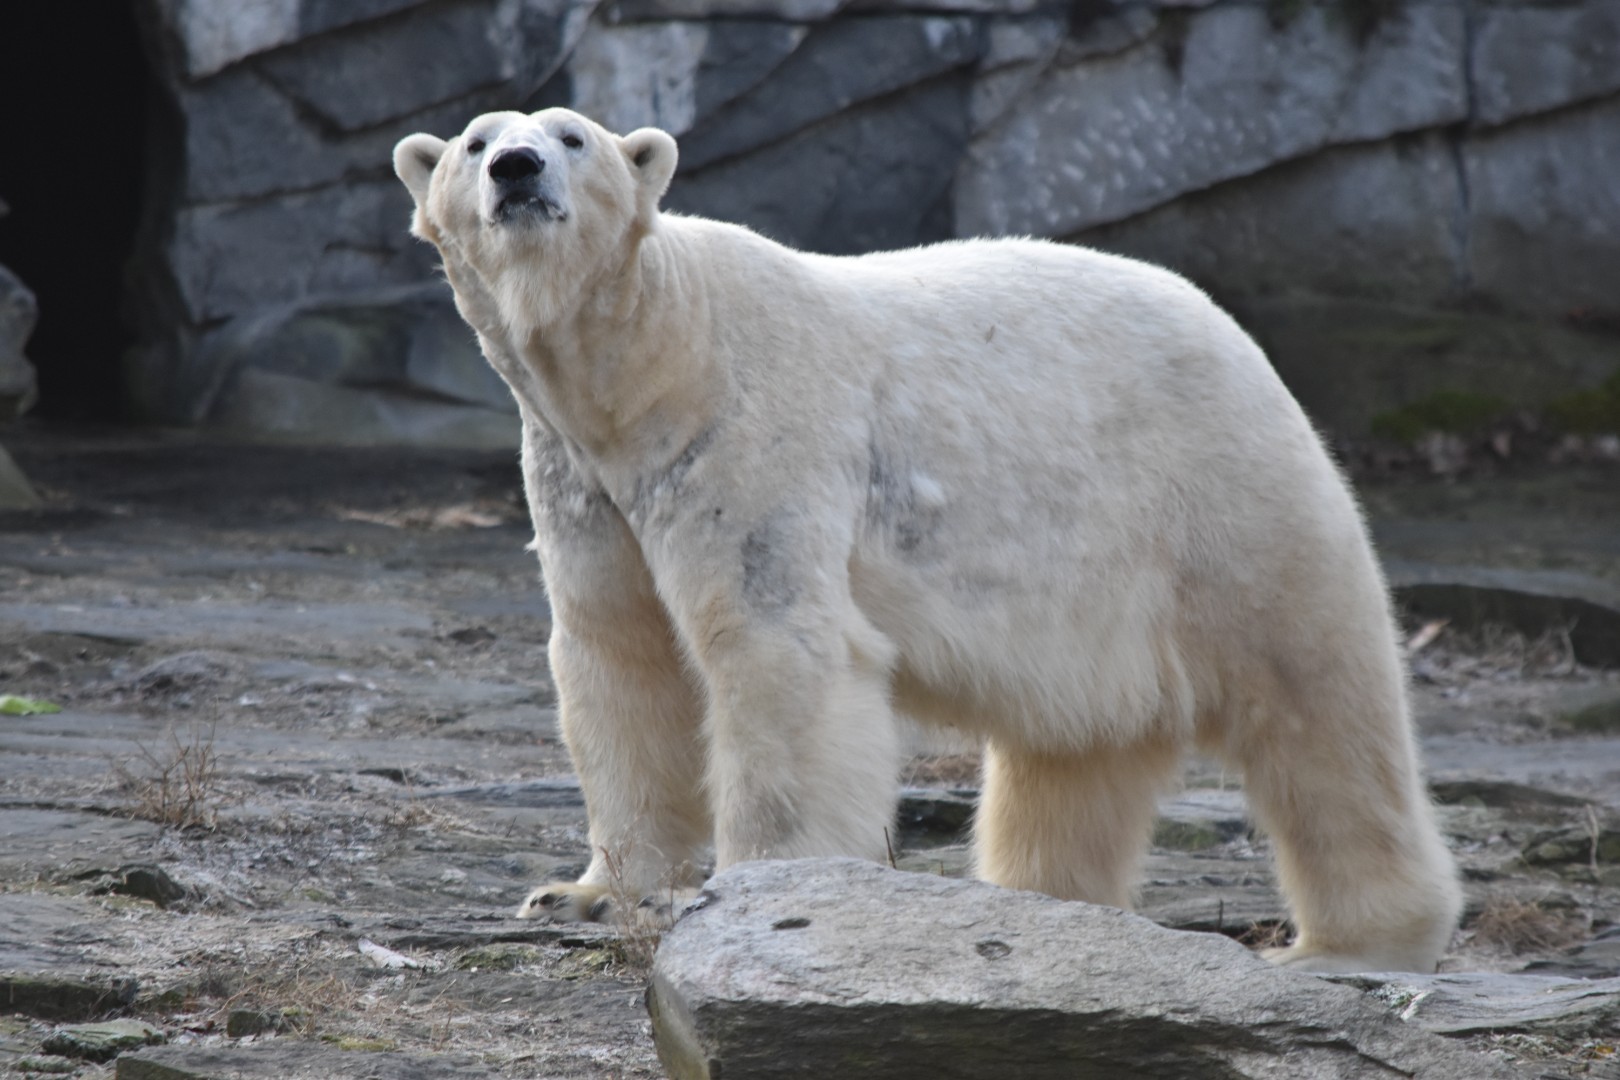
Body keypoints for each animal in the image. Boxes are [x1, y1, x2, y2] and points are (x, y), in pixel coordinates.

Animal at [392, 108, 1462, 974]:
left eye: (573, 136)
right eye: (478, 142)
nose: (518, 169)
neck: (652, 363)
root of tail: (1236, 333)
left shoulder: (750, 436)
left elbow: (774, 647)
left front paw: (761, 890)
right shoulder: (585, 477)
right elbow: (618, 657)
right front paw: (580, 892)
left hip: (1219, 497)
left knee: (1317, 698)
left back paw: (1355, 941)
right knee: (1079, 749)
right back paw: (1038, 900)